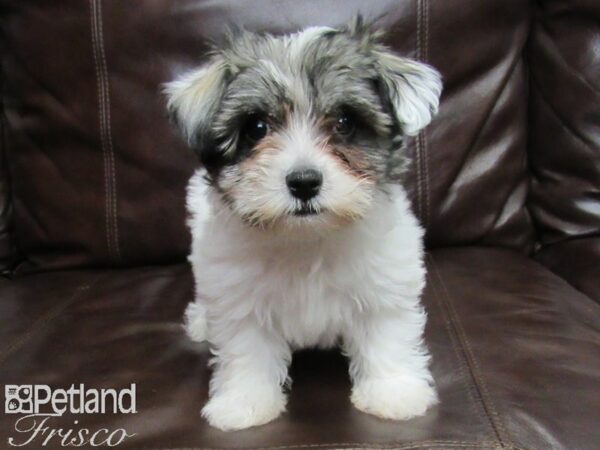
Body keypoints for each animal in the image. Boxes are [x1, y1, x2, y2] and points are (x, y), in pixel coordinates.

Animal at [164, 17, 440, 430]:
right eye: (257, 127)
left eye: (344, 122)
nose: (304, 182)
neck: (306, 240)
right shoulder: (237, 294)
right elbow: (246, 349)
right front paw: (246, 402)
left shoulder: (384, 281)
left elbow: (385, 333)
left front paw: (393, 392)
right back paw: (200, 321)